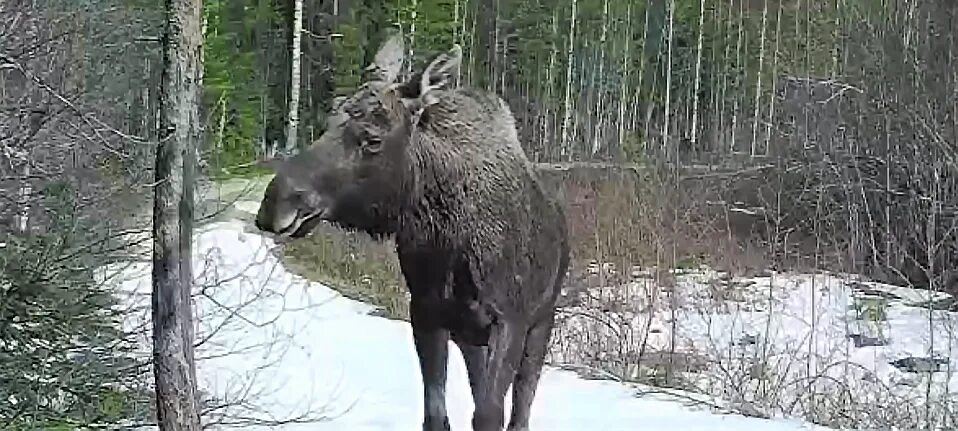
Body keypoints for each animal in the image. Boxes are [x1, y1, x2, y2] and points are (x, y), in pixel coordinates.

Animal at [253, 34, 568, 431]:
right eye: (329, 119)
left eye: (372, 139)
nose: (275, 203)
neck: (449, 239)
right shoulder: (427, 313)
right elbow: (436, 414)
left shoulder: (509, 320)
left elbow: (491, 415)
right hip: (470, 335)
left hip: (542, 320)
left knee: (522, 405)